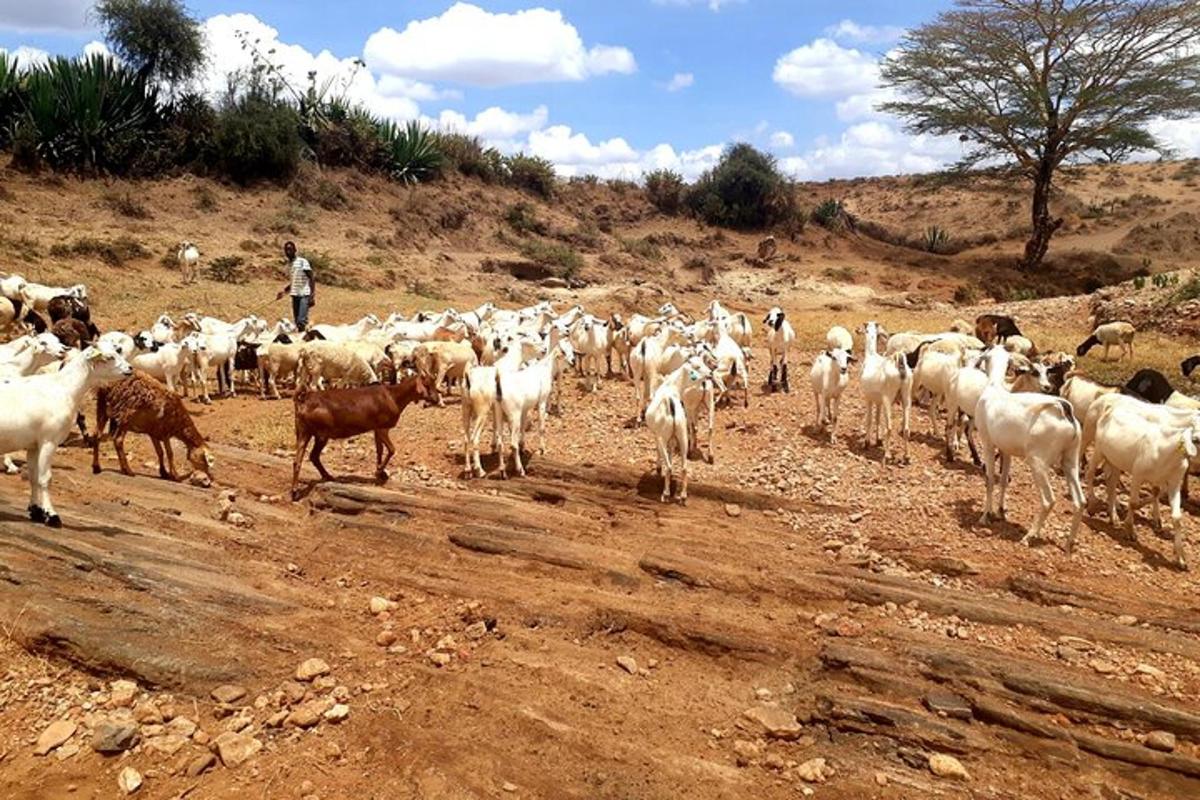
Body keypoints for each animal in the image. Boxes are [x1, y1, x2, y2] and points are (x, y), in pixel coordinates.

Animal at [291, 374, 436, 496]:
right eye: (427, 384)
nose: (436, 399)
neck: (393, 396)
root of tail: (304, 399)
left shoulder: (376, 429)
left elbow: (379, 450)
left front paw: (381, 473)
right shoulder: (382, 428)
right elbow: (391, 449)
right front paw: (379, 471)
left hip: (303, 432)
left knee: (299, 459)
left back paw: (298, 490)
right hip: (321, 434)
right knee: (313, 456)